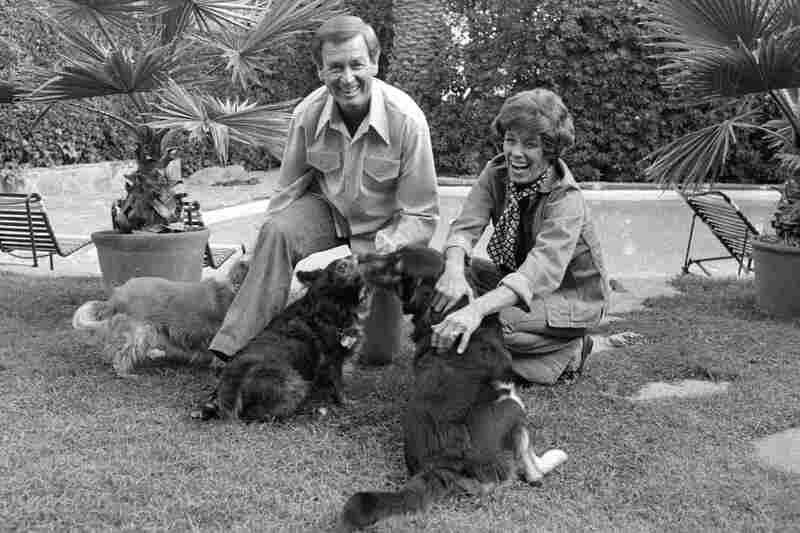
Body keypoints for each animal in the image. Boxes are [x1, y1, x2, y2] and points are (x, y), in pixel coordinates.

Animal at [194, 256, 368, 422]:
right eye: (342, 267)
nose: (354, 256)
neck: (327, 304)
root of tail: (230, 387)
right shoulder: (334, 359)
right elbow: (339, 386)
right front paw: (344, 403)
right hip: (296, 384)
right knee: (256, 415)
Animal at [340, 247, 568, 528]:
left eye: (397, 262)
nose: (357, 258)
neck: (456, 310)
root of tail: (442, 466)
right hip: (512, 405)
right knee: (531, 468)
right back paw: (550, 462)